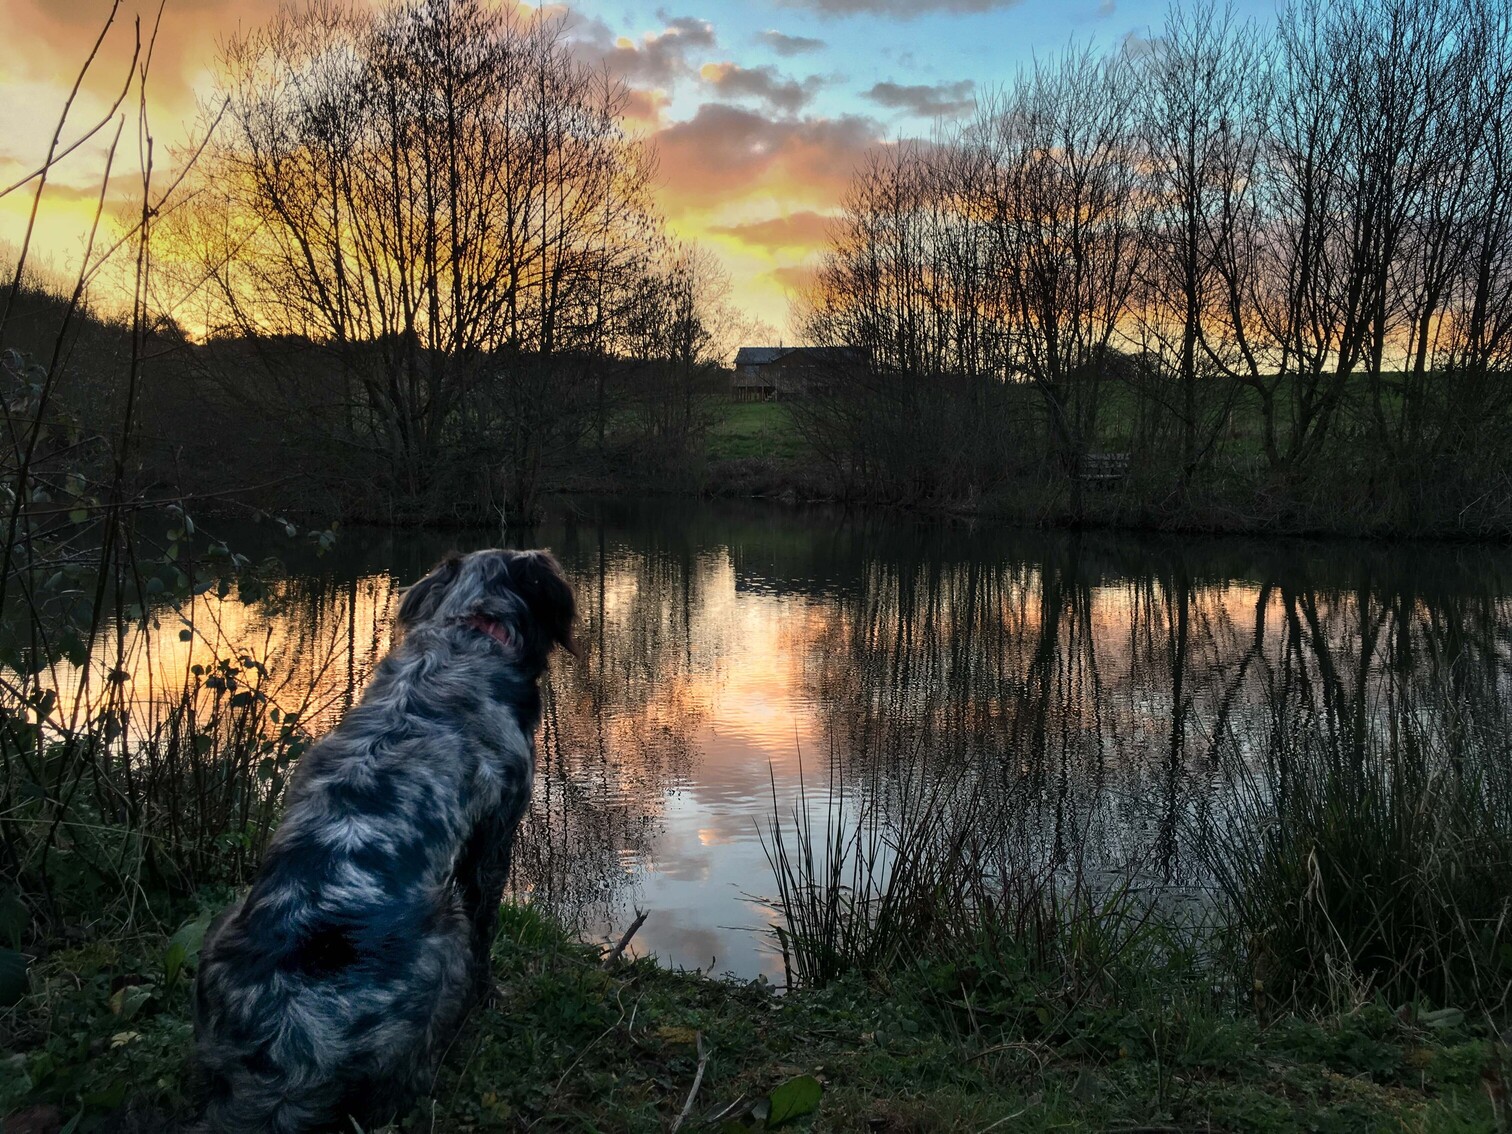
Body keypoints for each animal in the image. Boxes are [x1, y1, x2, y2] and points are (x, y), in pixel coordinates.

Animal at [193, 547, 577, 1130]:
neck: (471, 633)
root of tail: (278, 1059)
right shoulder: (493, 837)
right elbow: (487, 932)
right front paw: (490, 995)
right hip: (444, 931)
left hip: (221, 925)